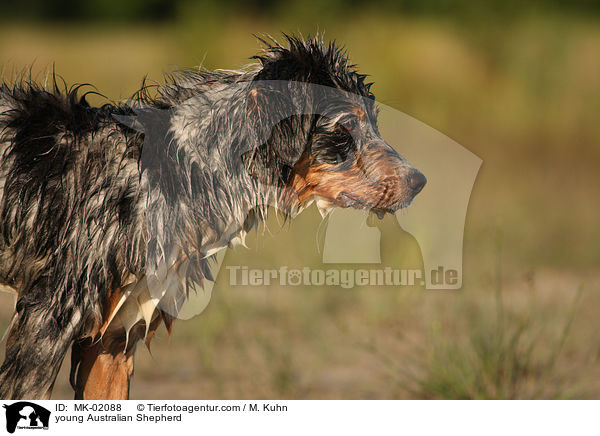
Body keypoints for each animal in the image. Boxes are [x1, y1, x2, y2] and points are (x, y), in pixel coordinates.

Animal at [0, 35, 426, 400]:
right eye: (344, 128)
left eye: (374, 121)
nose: (419, 181)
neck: (180, 167)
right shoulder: (47, 318)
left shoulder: (115, 338)